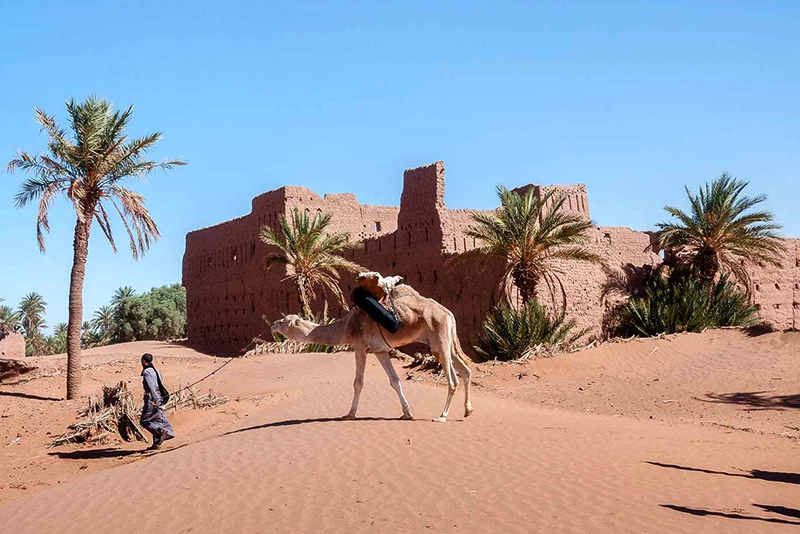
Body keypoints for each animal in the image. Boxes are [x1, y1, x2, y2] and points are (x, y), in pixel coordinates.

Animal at [272, 280, 476, 422]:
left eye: (283, 321)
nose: (273, 324)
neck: (345, 326)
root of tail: (448, 312)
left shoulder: (359, 346)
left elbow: (358, 383)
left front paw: (349, 414)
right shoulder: (380, 351)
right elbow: (395, 381)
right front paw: (407, 413)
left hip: (438, 338)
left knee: (453, 380)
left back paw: (442, 416)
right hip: (446, 341)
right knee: (466, 371)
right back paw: (467, 410)